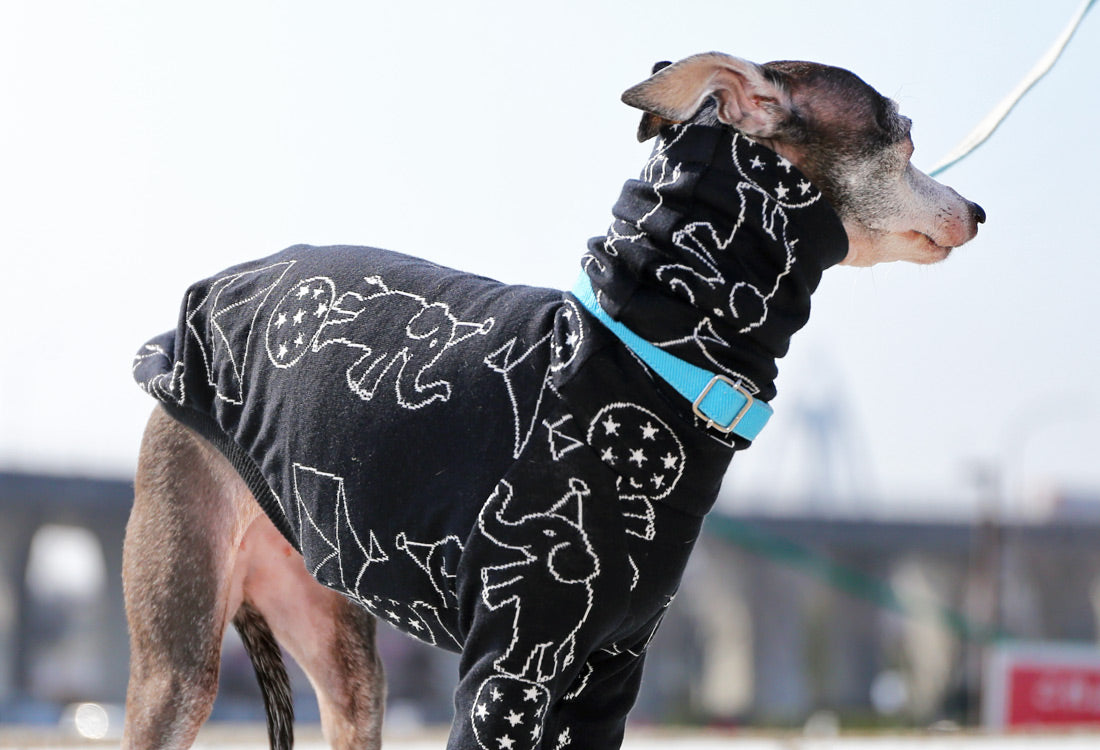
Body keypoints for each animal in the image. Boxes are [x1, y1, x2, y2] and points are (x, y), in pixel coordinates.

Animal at [124, 54, 985, 747]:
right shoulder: (505, 672)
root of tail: (203, 305)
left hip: (341, 646)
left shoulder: (605, 673)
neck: (645, 351)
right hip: (182, 659)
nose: (977, 210)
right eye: (904, 139)